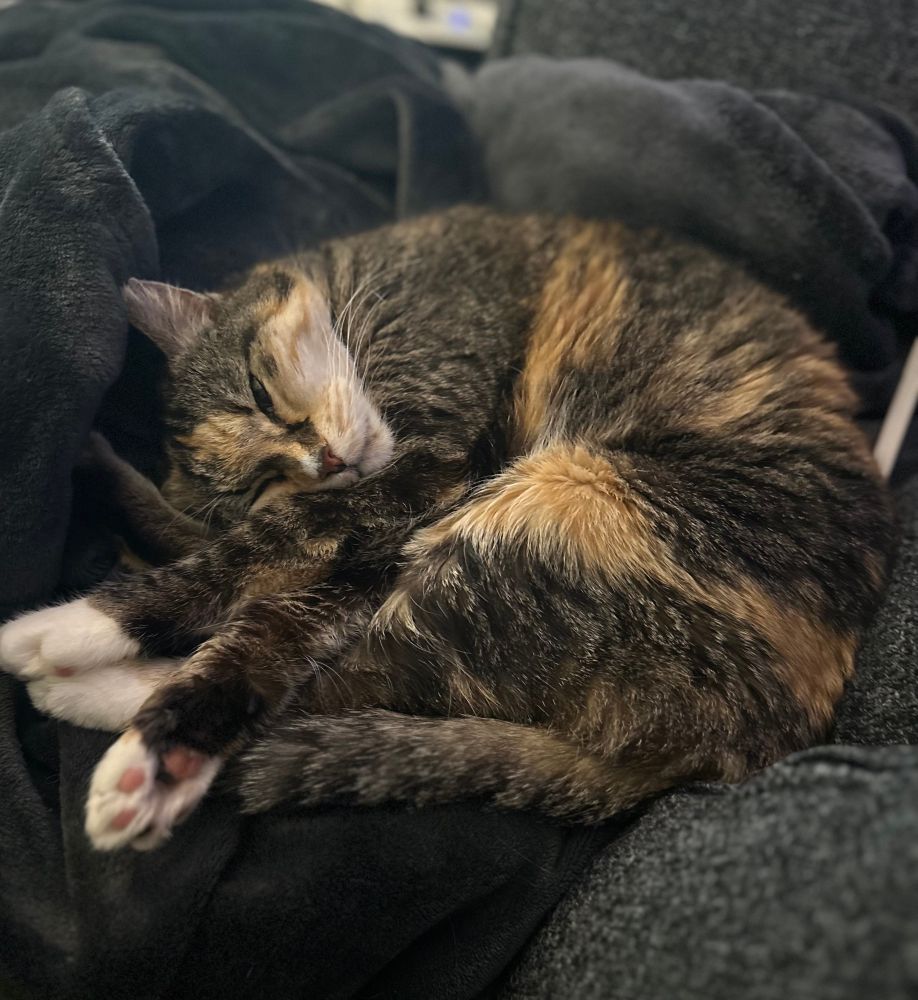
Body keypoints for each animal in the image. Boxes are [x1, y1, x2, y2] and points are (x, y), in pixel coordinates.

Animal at [0, 206, 895, 851]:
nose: (325, 458)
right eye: (260, 478)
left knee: (353, 676)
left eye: (258, 388)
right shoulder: (388, 519)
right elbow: (271, 585)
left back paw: (107, 718)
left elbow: (256, 571)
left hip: (553, 520)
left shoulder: (425, 465)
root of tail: (754, 742)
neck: (359, 290)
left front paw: (89, 627)